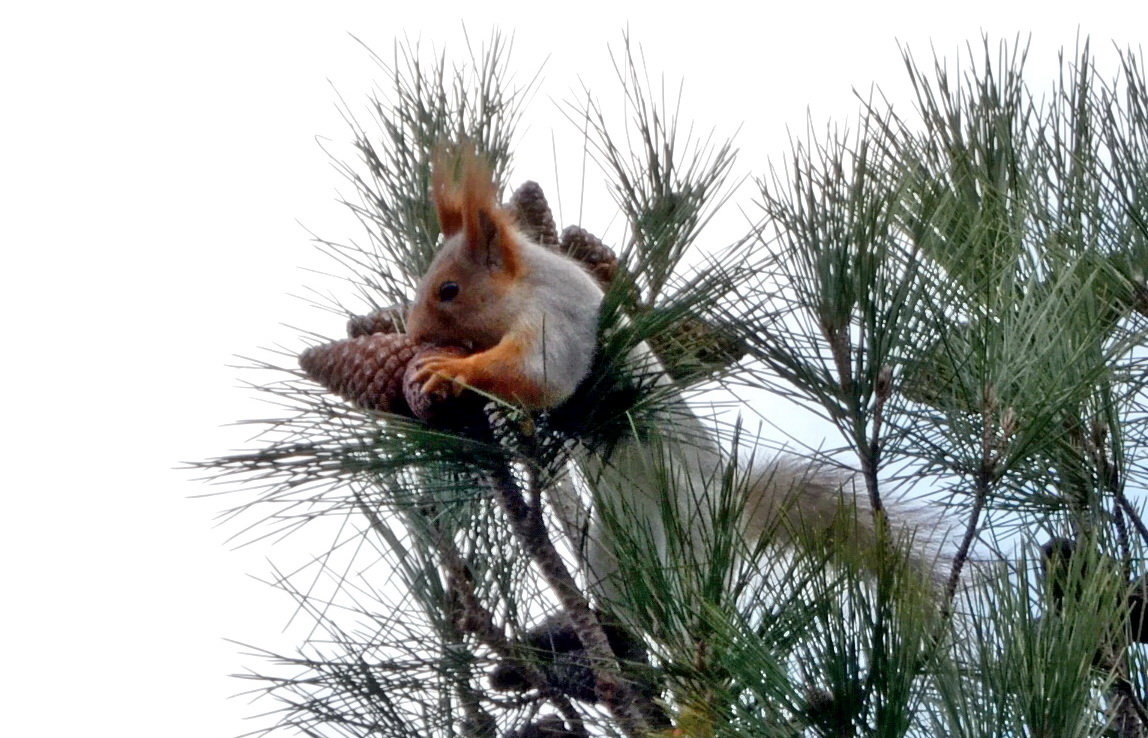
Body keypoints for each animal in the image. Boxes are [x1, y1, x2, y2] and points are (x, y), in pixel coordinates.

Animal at [408, 146, 936, 610]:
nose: (413, 335)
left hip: (688, 528)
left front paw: (452, 368)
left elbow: (541, 375)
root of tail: (728, 502)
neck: (527, 281)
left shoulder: (554, 314)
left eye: (449, 289)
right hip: (609, 551)